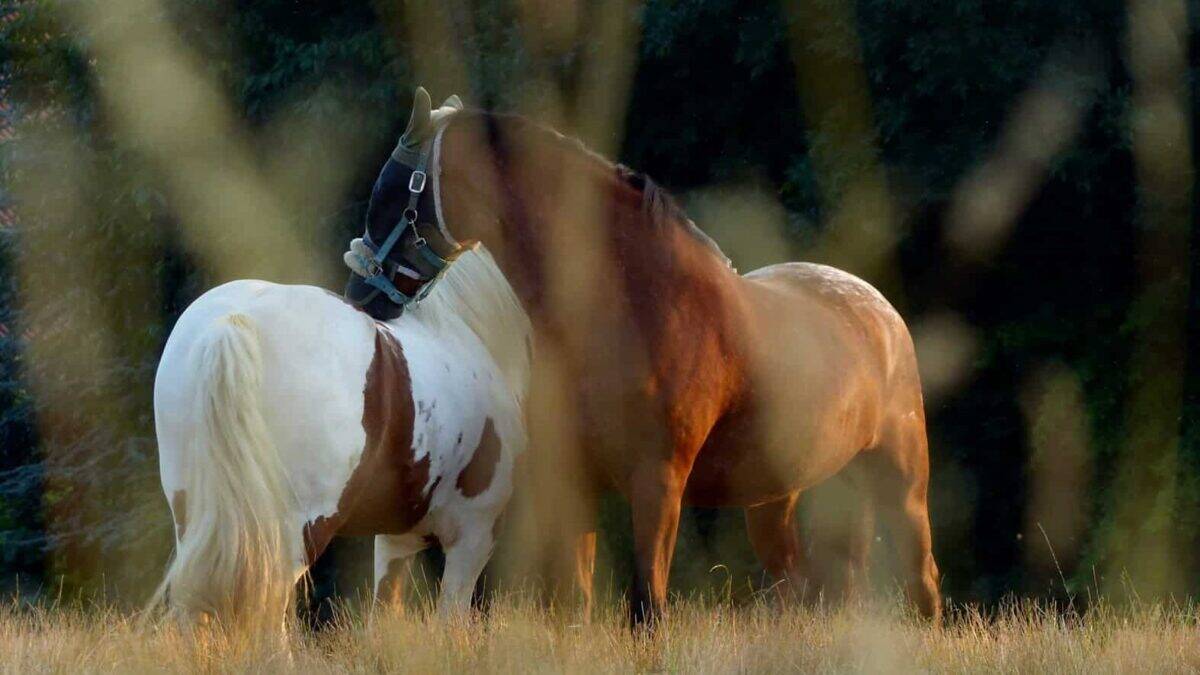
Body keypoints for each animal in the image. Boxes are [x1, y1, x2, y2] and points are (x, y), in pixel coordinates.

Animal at [347, 87, 941, 626]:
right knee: (802, 587)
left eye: (392, 191)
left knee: (923, 583)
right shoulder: (576, 484)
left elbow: (647, 608)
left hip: (903, 486)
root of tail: (879, 309)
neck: (635, 307)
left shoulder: (658, 483)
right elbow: (576, 604)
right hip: (777, 500)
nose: (359, 296)